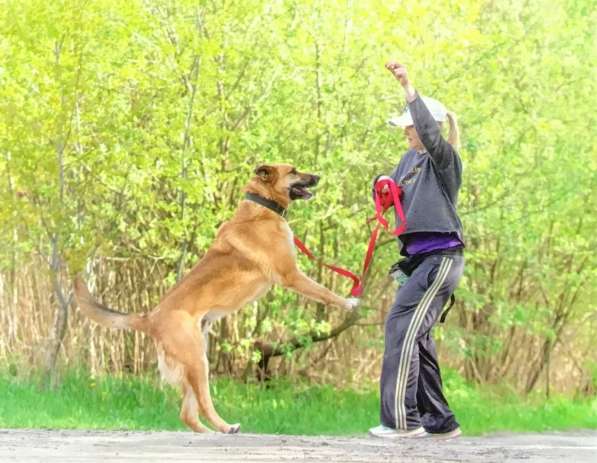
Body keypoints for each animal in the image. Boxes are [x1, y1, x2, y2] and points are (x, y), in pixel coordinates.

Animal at [72, 164, 356, 436]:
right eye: (294, 171)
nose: (317, 177)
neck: (262, 207)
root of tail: (149, 318)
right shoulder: (292, 276)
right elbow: (325, 292)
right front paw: (350, 302)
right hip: (198, 362)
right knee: (204, 403)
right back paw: (226, 427)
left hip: (193, 362)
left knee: (187, 413)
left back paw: (209, 432)